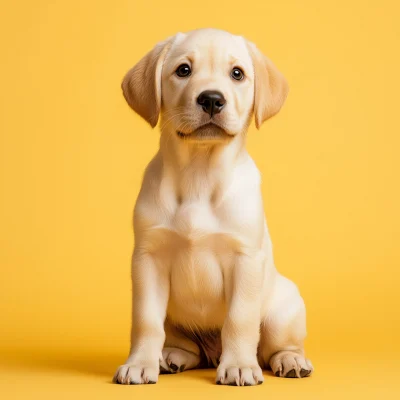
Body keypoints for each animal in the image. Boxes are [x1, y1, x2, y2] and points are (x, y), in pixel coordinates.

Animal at [112, 27, 312, 384]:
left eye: (237, 74)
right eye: (183, 70)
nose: (211, 99)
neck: (199, 175)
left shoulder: (245, 259)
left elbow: (239, 319)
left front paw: (239, 366)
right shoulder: (148, 259)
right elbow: (145, 321)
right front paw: (139, 364)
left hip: (282, 310)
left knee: (274, 348)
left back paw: (289, 361)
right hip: (176, 323)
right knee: (186, 347)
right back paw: (171, 357)